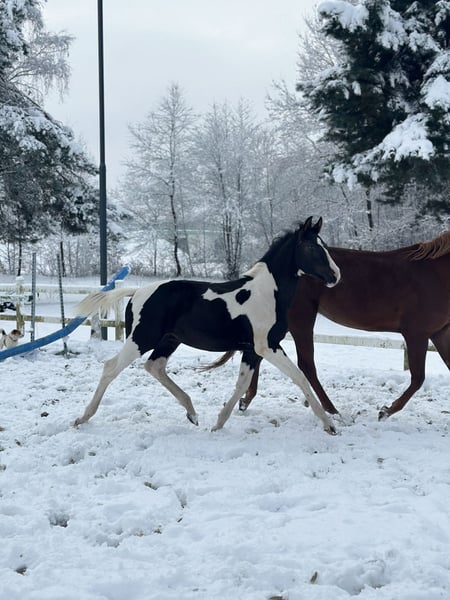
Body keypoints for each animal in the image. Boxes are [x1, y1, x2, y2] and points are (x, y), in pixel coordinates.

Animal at [73, 217, 341, 433]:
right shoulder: (268, 346)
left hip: (169, 340)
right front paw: (329, 425)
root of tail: (137, 291)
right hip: (141, 338)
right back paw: (82, 418)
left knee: (154, 367)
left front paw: (218, 423)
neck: (267, 294)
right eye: (311, 247)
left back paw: (192, 413)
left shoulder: (252, 350)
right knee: (111, 367)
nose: (336, 276)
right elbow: (300, 377)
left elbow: (242, 384)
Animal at [226, 230, 449, 420]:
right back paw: (332, 410)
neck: (435, 275)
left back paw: (245, 401)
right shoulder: (416, 333)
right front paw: (385, 411)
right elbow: (418, 378)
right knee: (306, 364)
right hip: (301, 319)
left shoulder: (439, 333)